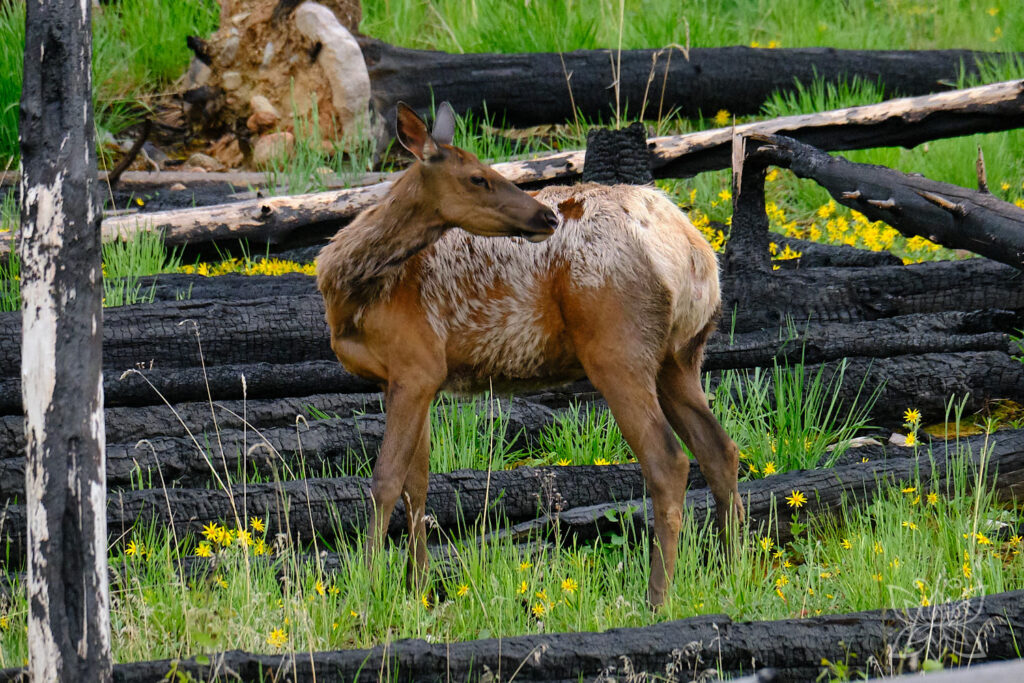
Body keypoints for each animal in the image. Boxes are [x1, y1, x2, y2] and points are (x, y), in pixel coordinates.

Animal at [316, 102, 743, 607]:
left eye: (490, 170)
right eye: (477, 177)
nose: (545, 216)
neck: (351, 295)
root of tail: (694, 253)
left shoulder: (417, 364)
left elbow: (385, 480)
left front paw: (366, 587)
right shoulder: (407, 378)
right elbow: (416, 483)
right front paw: (419, 588)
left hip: (618, 348)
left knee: (668, 460)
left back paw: (657, 594)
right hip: (680, 356)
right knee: (721, 449)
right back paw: (735, 569)